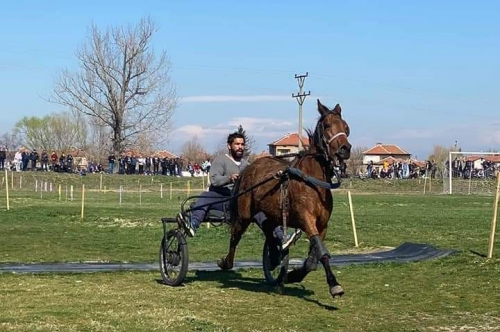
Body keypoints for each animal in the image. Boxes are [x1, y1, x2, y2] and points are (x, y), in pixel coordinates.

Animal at [218, 98, 352, 298]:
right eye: (328, 125)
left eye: (345, 126)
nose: (345, 149)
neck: (314, 183)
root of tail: (247, 169)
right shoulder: (306, 219)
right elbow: (321, 251)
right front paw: (334, 284)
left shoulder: (323, 224)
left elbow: (313, 258)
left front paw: (293, 275)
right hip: (244, 214)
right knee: (235, 235)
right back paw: (227, 262)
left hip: (270, 213)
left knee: (268, 228)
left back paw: (275, 256)